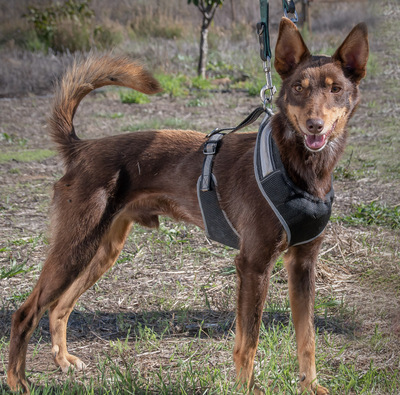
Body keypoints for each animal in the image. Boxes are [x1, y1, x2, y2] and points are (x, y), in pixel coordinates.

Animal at [7, 18, 368, 395]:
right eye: (298, 87)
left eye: (336, 89)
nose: (315, 125)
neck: (299, 167)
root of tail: (81, 148)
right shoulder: (253, 264)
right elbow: (248, 341)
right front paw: (245, 387)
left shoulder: (302, 263)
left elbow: (307, 336)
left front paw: (311, 386)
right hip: (75, 248)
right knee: (26, 312)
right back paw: (18, 381)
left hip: (102, 250)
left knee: (59, 307)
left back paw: (63, 360)